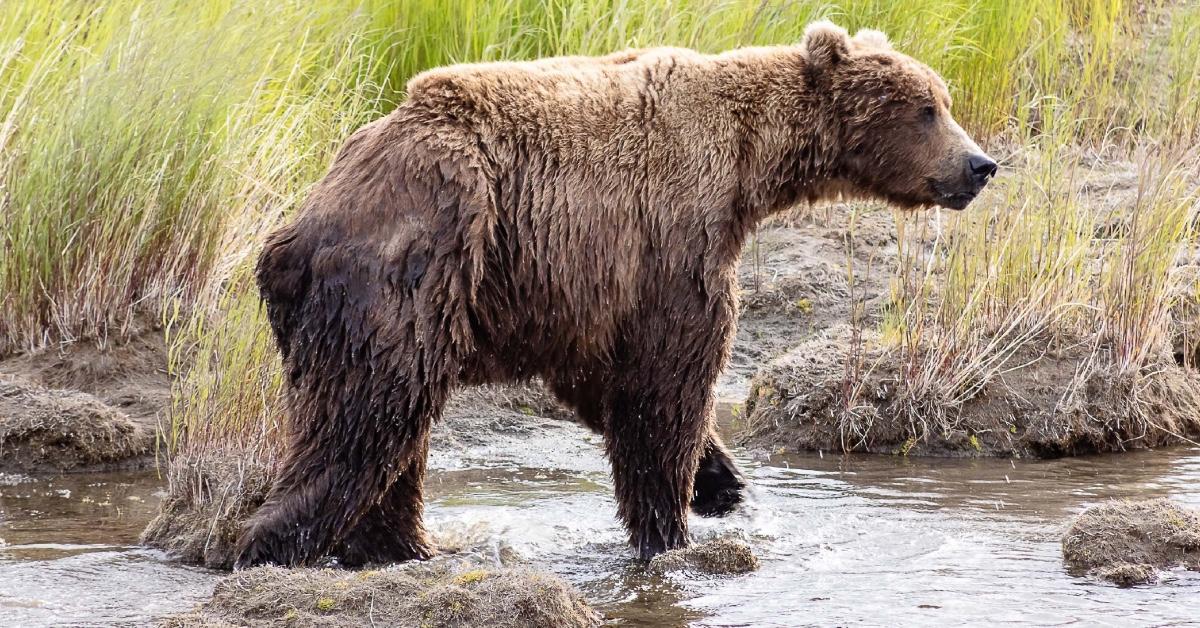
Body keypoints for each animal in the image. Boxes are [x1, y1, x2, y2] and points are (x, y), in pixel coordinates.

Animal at [234, 20, 996, 569]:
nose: (980, 164)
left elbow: (606, 383)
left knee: (389, 435)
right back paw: (268, 544)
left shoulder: (579, 289)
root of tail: (299, 227)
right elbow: (667, 384)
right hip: (409, 267)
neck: (749, 165)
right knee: (369, 414)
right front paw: (673, 530)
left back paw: (406, 547)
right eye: (926, 109)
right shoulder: (671, 236)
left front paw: (724, 486)